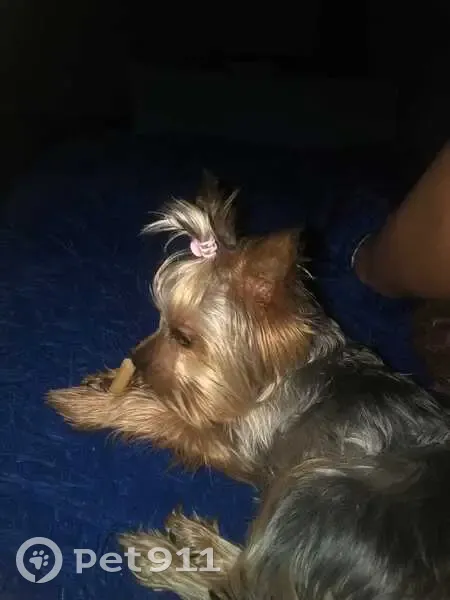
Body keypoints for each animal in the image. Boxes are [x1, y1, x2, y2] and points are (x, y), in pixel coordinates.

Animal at [49, 173, 450, 599]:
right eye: (160, 321)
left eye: (184, 338)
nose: (136, 359)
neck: (283, 371)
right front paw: (111, 381)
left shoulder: (238, 444)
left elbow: (165, 412)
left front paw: (93, 404)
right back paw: (196, 540)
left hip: (318, 488)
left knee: (241, 585)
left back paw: (163, 557)